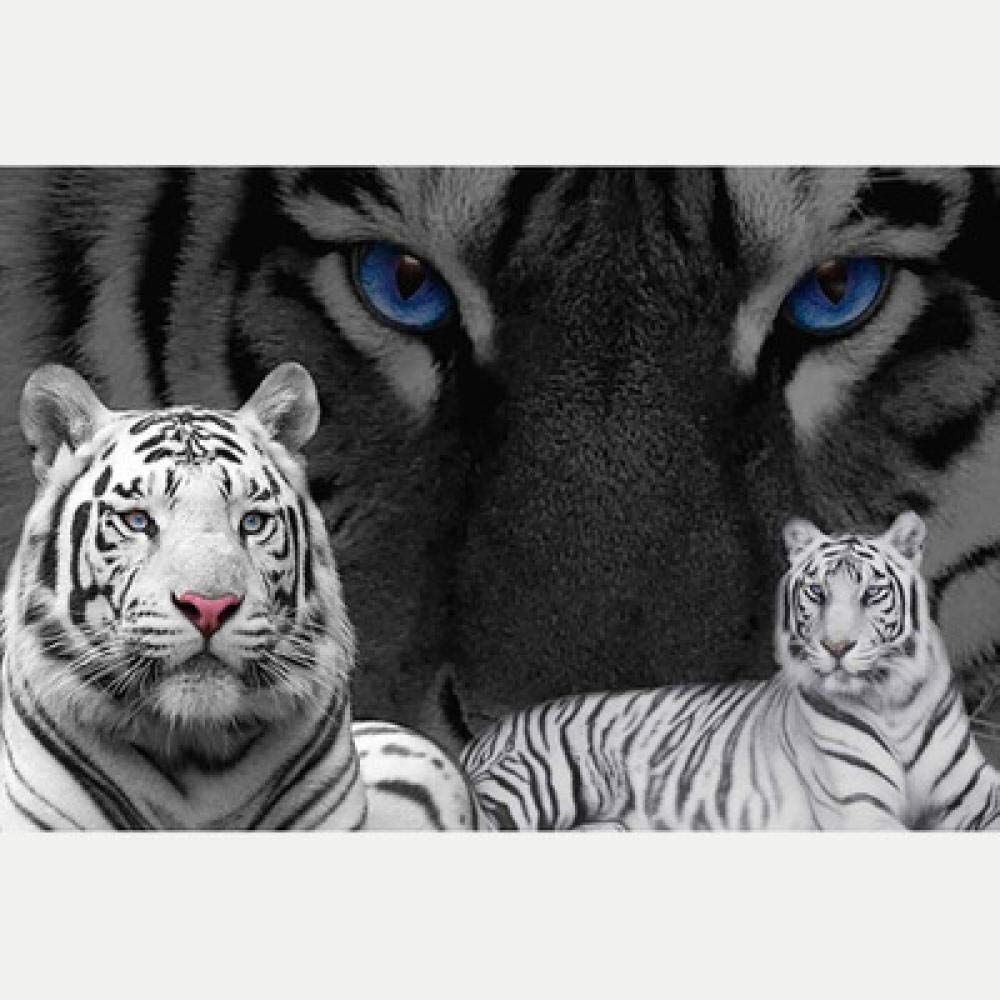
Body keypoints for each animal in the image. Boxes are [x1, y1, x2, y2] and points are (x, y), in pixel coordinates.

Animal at [459, 512, 1000, 831]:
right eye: (818, 593)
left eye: (872, 594)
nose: (837, 647)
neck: (892, 701)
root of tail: (483, 737)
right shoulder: (860, 810)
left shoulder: (976, 791)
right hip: (530, 783)